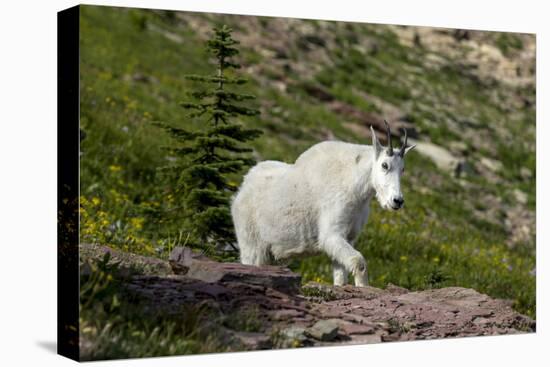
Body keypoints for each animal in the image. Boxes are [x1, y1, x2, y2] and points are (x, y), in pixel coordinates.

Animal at [231, 122, 416, 286]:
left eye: (403, 169)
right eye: (385, 165)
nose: (397, 201)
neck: (355, 187)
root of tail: (242, 190)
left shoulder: (348, 237)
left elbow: (341, 275)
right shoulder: (331, 234)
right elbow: (359, 262)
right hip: (250, 241)